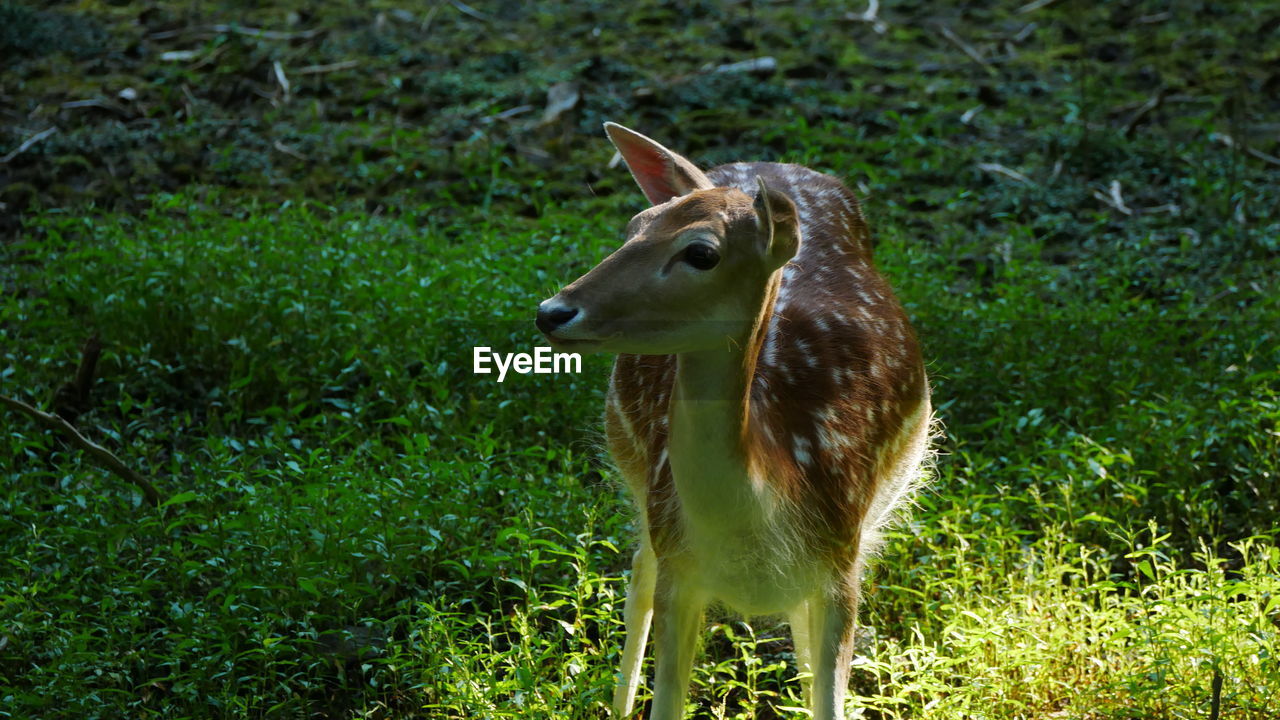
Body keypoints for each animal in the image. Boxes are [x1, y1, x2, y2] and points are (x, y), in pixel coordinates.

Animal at [535, 122, 936, 717]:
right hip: (639, 481)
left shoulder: (842, 566)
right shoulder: (680, 567)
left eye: (702, 253)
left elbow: (829, 697)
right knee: (638, 580)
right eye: (633, 226)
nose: (553, 311)